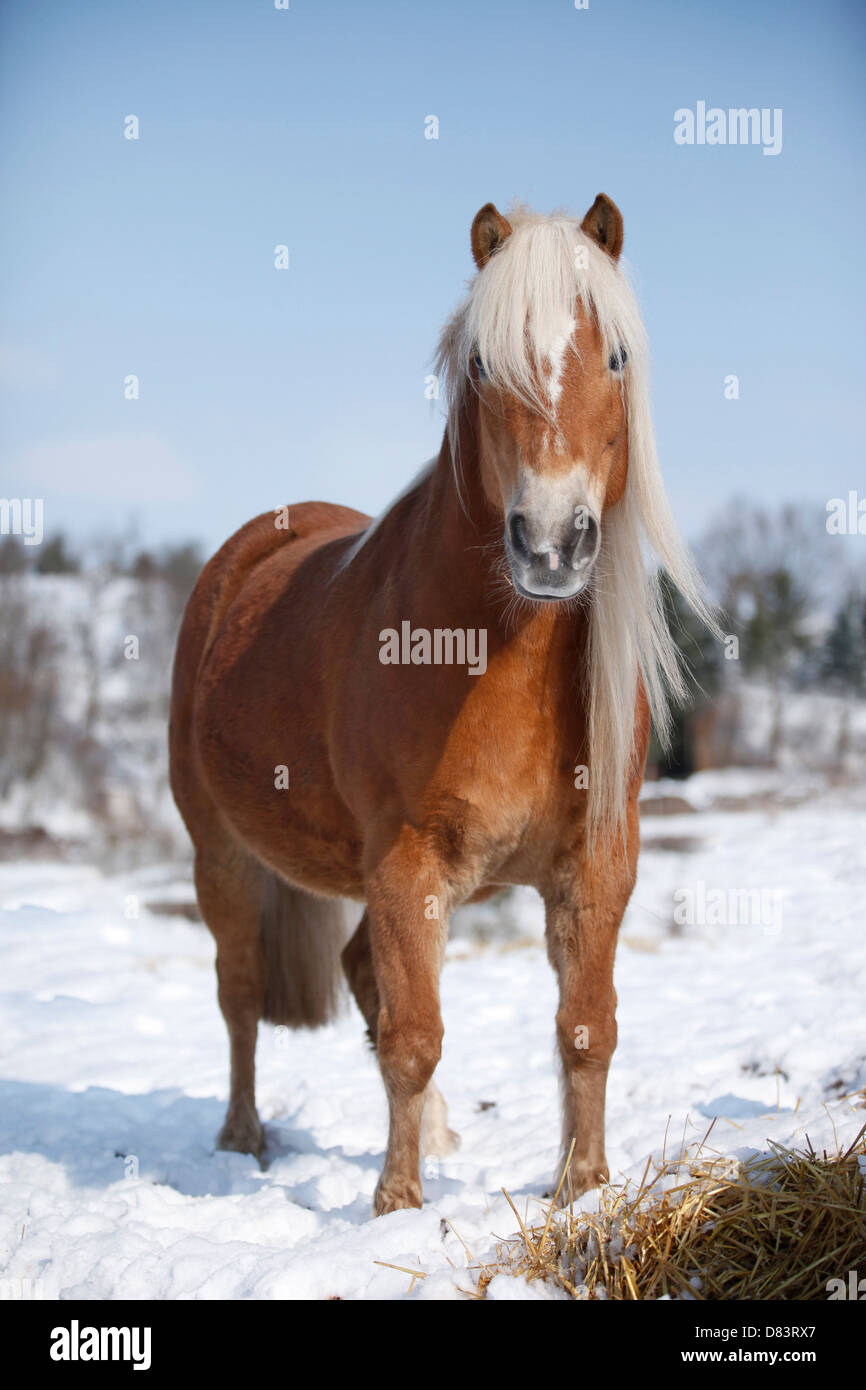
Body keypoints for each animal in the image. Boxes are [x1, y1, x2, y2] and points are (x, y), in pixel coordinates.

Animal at [169, 194, 715, 1215]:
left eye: (617, 357)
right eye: (483, 366)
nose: (551, 544)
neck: (496, 658)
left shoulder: (597, 864)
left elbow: (587, 1025)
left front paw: (583, 1190)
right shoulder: (405, 862)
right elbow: (415, 1035)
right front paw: (396, 1207)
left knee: (357, 981)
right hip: (221, 855)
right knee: (242, 993)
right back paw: (242, 1140)